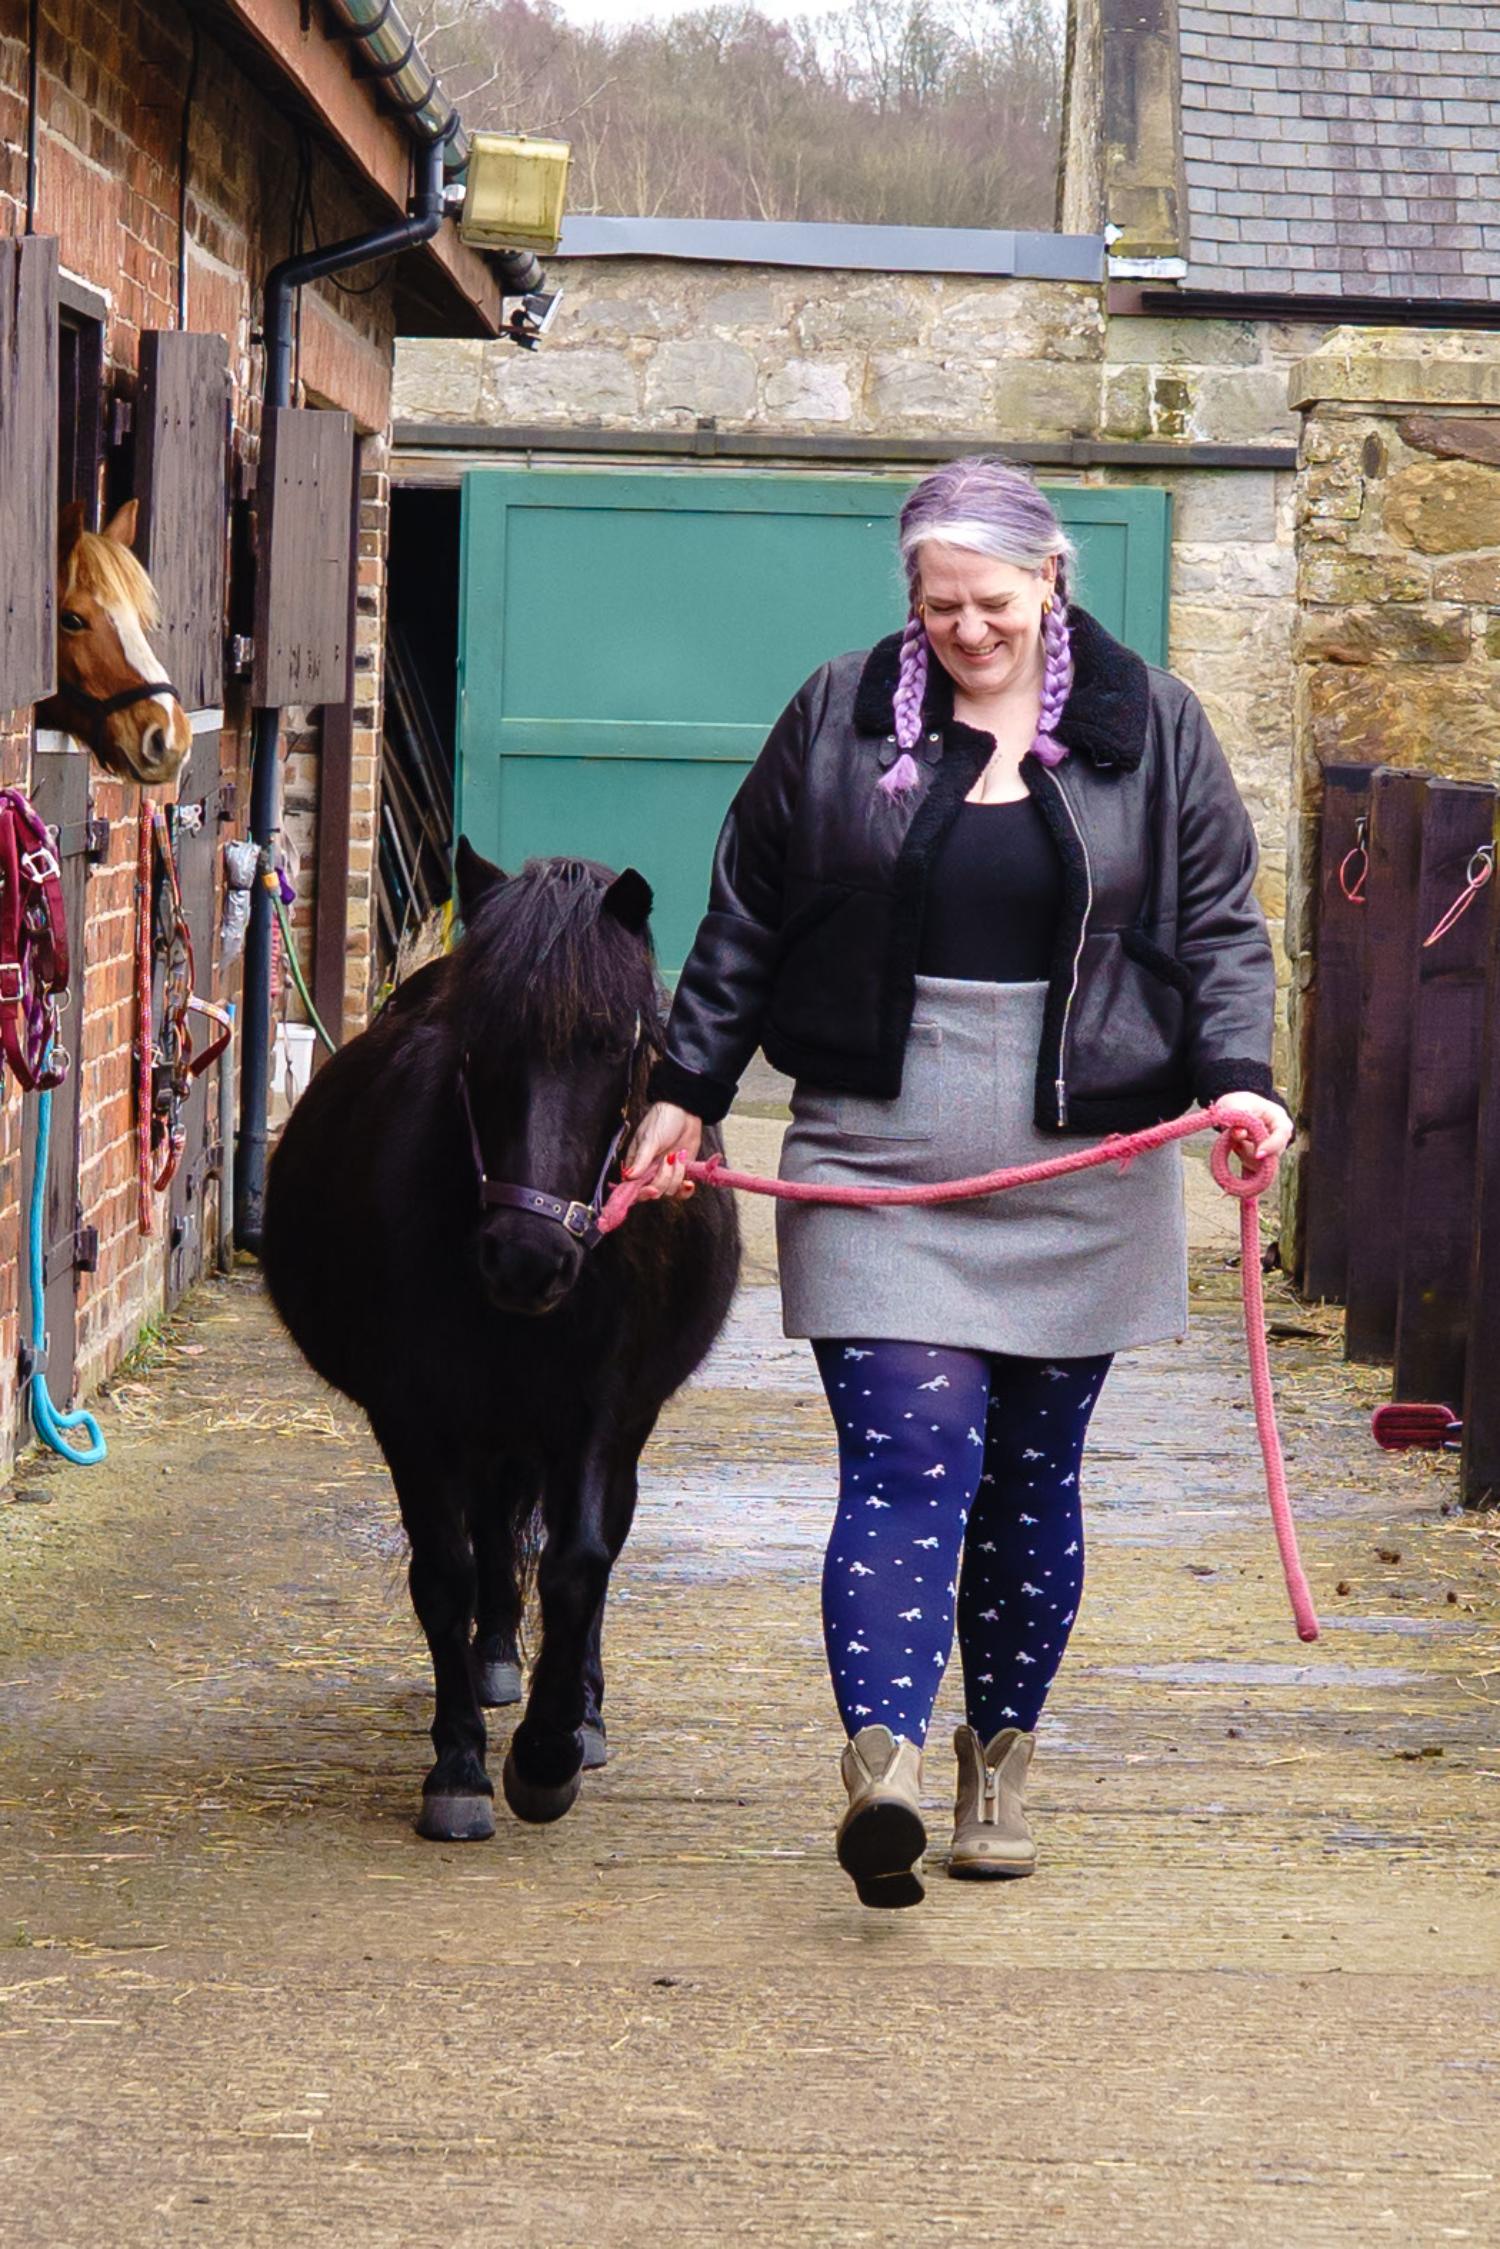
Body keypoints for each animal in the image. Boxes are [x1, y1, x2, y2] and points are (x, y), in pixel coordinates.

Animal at [261, 843, 741, 1840]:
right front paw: (459, 1768)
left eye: (615, 1046)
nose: (527, 1259)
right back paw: (493, 1662)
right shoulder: (415, 1417)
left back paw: (582, 1709)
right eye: (475, 1044)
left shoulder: (601, 1414)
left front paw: (551, 1750)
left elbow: (579, 1564)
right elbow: (444, 1573)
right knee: (488, 1532)